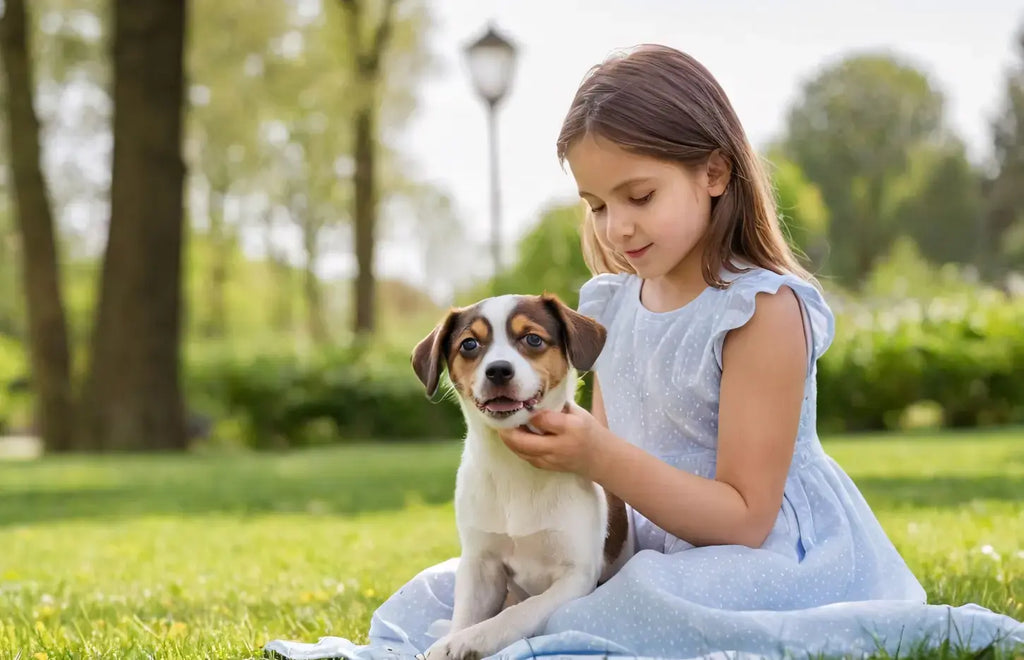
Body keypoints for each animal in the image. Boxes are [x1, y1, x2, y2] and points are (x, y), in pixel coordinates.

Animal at [407, 292, 630, 658]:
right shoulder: (480, 564)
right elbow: (466, 615)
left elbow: (517, 613)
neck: (514, 469)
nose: (498, 370)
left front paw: (466, 642)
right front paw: (451, 640)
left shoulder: (577, 575)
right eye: (469, 344)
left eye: (533, 339)